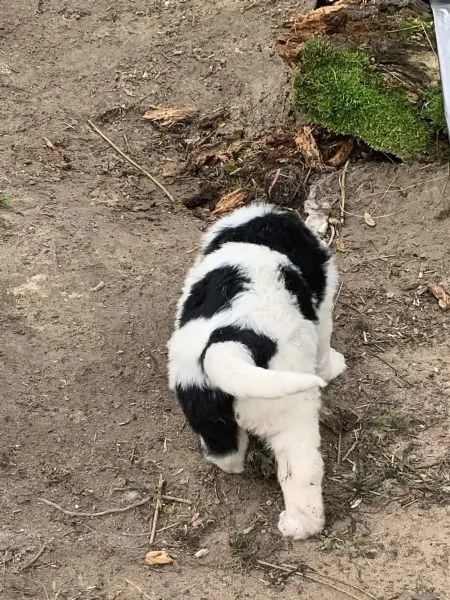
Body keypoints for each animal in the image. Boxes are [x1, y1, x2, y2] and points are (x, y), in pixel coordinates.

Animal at [167, 204, 346, 540]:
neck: (256, 235)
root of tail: (231, 342)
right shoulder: (324, 305)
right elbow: (324, 346)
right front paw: (335, 366)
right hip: (291, 414)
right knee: (300, 473)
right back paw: (299, 525)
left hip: (205, 408)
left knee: (225, 452)